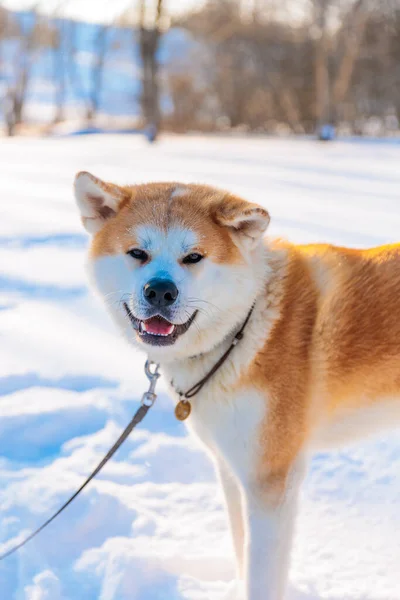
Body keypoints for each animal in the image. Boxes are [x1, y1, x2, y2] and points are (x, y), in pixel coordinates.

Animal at [73, 170, 398, 600]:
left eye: (194, 257)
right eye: (137, 253)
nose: (160, 290)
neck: (246, 327)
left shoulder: (271, 483)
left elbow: (261, 576)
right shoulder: (232, 469)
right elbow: (242, 550)